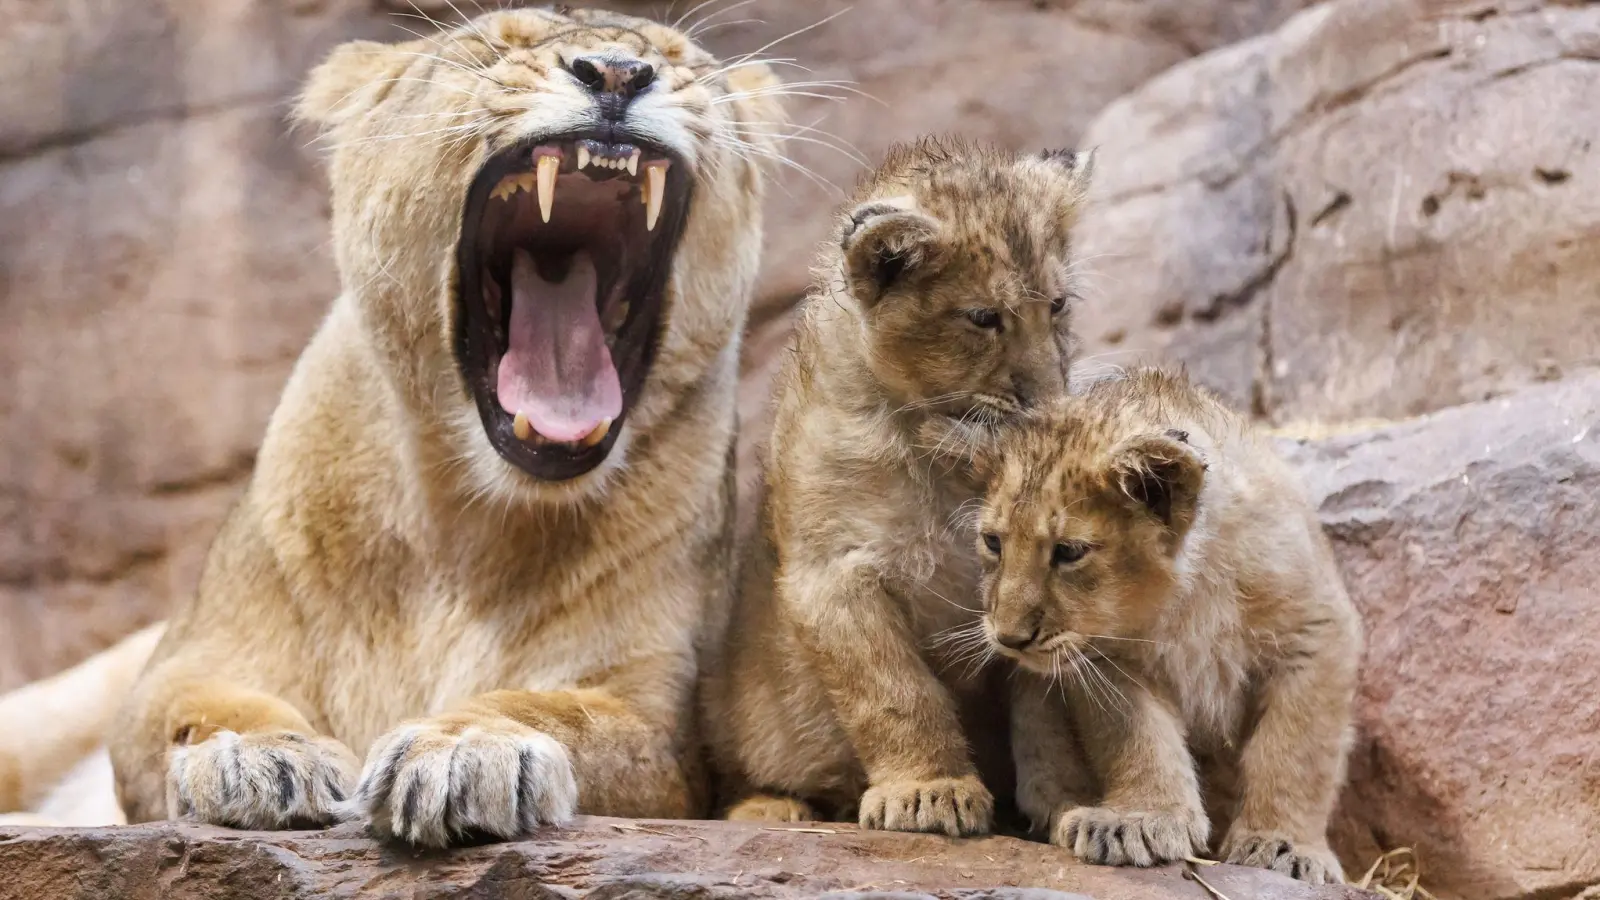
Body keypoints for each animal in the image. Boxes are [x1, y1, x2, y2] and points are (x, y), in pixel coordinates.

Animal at [0, 7, 787, 845]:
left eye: (680, 59)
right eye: (495, 45)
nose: (615, 72)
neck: (468, 526)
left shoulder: (662, 720)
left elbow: (557, 711)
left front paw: (470, 749)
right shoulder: (187, 659)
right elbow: (200, 707)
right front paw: (259, 757)